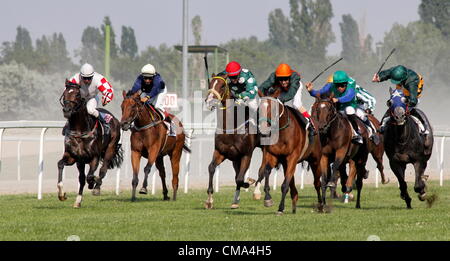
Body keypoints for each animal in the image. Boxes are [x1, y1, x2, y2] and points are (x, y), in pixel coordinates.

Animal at [57, 79, 123, 207]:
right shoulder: (73, 157)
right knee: (82, 178)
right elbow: (61, 165)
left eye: (77, 94)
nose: (67, 110)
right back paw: (78, 200)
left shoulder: (94, 157)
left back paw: (96, 187)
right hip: (80, 162)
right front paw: (62, 195)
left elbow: (90, 175)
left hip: (110, 148)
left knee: (103, 169)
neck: (80, 131)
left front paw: (93, 182)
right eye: (65, 94)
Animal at [205, 72, 260, 208]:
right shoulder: (221, 152)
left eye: (222, 86)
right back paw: (235, 201)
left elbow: (240, 179)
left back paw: (257, 191)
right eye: (210, 84)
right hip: (235, 158)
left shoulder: (246, 154)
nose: (210, 101)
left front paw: (249, 181)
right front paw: (209, 200)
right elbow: (211, 168)